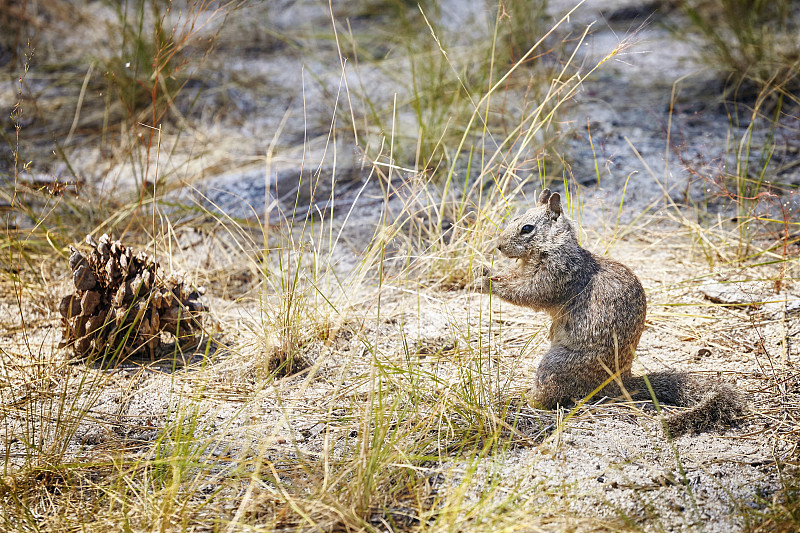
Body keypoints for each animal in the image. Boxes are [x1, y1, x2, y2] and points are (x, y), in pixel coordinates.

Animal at [472, 189, 748, 434]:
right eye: (513, 220)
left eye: (527, 228)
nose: (498, 246)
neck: (556, 247)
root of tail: (621, 383)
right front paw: (482, 270)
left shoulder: (556, 276)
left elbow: (527, 292)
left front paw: (486, 283)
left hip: (555, 365)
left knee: (552, 396)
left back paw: (527, 400)